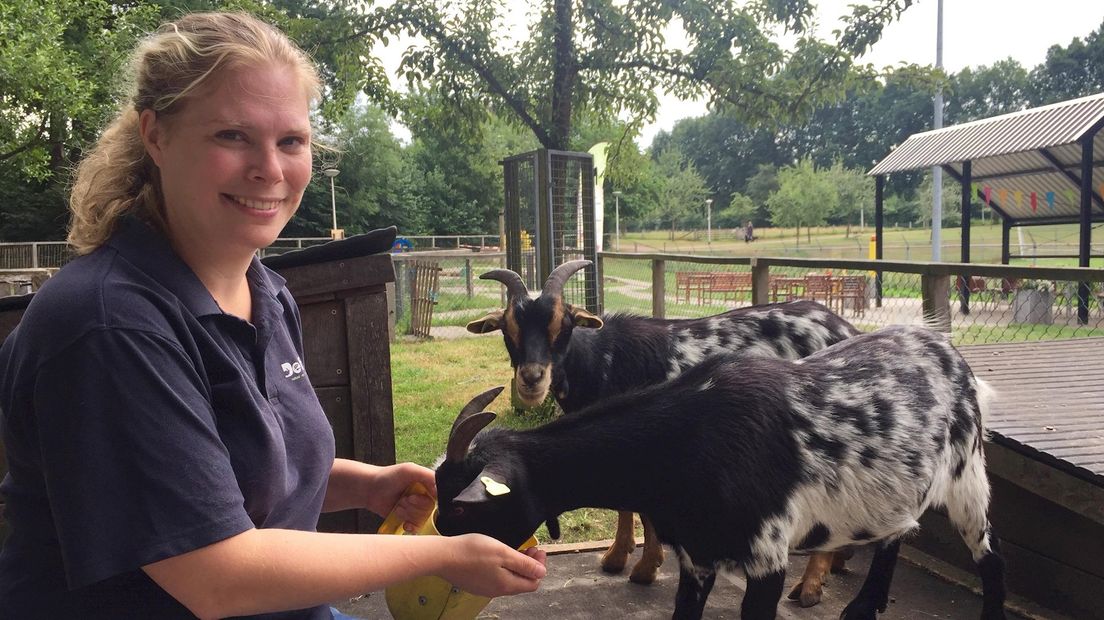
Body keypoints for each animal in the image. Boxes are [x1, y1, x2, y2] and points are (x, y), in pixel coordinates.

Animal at [434, 324, 1006, 617]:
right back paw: (864, 607)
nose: (442, 558)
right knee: (897, 532)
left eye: (460, 513)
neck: (690, 439)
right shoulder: (697, 556)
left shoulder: (767, 558)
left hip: (967, 474)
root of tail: (947, 347)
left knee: (991, 558)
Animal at [465, 257, 861, 604]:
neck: (604, 360)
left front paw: (639, 566)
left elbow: (638, 507)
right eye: (508, 329)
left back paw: (810, 587)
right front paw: (623, 558)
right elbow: (630, 505)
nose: (531, 379)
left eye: (562, 325)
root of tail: (845, 328)